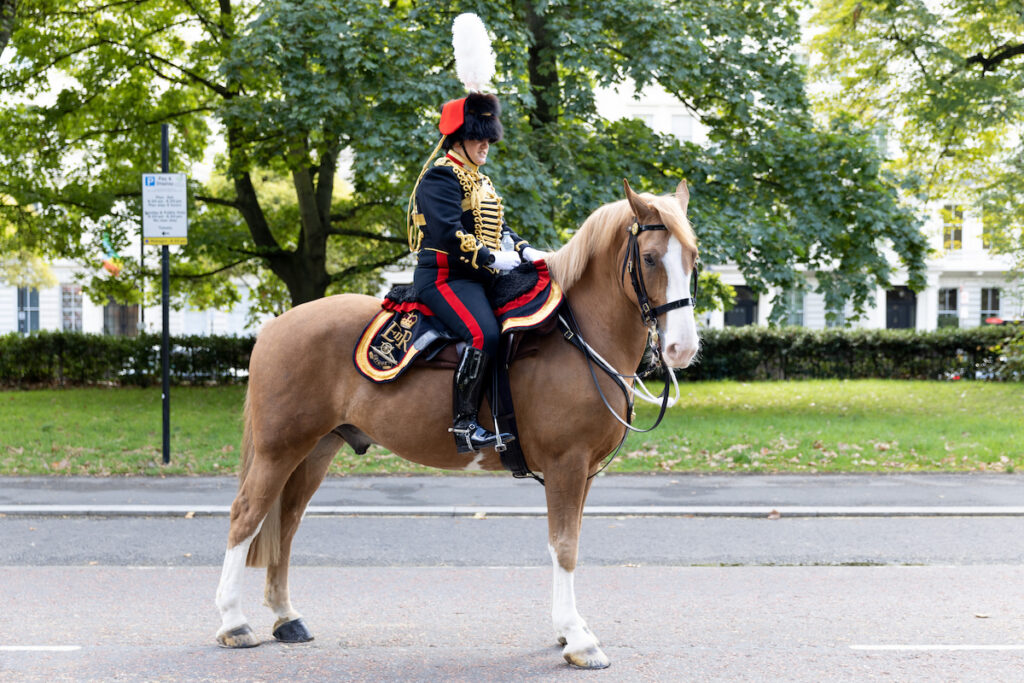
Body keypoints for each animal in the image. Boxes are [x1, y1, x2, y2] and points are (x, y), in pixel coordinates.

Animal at [211, 179, 700, 671]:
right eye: (650, 257)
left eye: (693, 257)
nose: (682, 348)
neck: (579, 334)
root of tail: (276, 326)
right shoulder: (567, 464)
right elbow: (564, 546)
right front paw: (578, 640)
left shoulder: (584, 473)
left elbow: (568, 541)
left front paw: (567, 630)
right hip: (279, 449)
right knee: (246, 516)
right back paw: (234, 623)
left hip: (316, 450)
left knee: (286, 523)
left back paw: (285, 616)